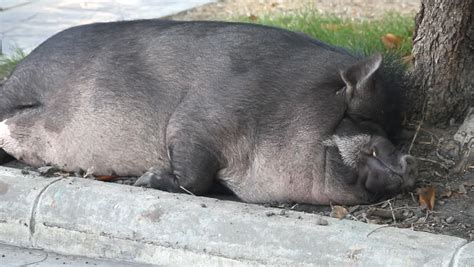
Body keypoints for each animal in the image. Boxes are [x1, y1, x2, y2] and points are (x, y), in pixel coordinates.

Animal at [0, 19, 414, 205]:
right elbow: (194, 175)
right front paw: (145, 181)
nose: (407, 161)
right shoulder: (196, 122)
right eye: (361, 117)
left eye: (393, 129)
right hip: (21, 87)